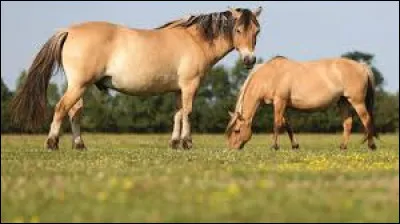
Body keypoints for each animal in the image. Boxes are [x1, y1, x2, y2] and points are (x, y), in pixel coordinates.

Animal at [8, 7, 262, 150]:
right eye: (238, 30)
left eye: (257, 31)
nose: (250, 60)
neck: (194, 39)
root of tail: (69, 30)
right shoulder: (190, 85)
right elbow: (188, 113)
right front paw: (187, 143)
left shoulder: (178, 90)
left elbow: (177, 114)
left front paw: (174, 143)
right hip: (79, 85)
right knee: (61, 108)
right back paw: (52, 143)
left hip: (79, 87)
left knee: (74, 112)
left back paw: (79, 145)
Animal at [225, 55, 378, 150]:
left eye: (237, 130)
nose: (232, 149)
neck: (270, 75)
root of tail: (362, 66)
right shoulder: (283, 104)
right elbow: (287, 125)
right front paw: (295, 146)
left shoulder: (279, 101)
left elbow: (277, 124)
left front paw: (274, 146)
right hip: (343, 101)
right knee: (348, 123)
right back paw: (342, 147)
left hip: (357, 102)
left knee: (367, 120)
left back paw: (371, 146)